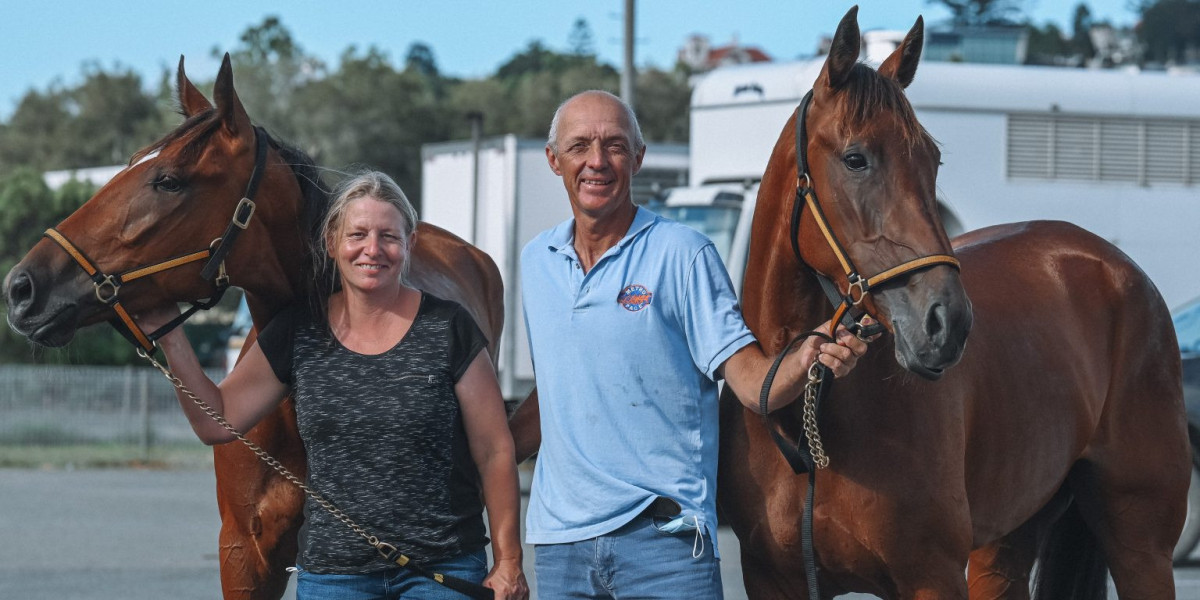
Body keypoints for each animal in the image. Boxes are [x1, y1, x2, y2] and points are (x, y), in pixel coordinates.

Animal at [715, 7, 1195, 597]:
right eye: (855, 158)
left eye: (934, 159)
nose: (947, 322)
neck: (807, 420)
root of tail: (1120, 269)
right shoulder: (772, 579)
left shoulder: (932, 575)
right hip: (1006, 542)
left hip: (1141, 546)